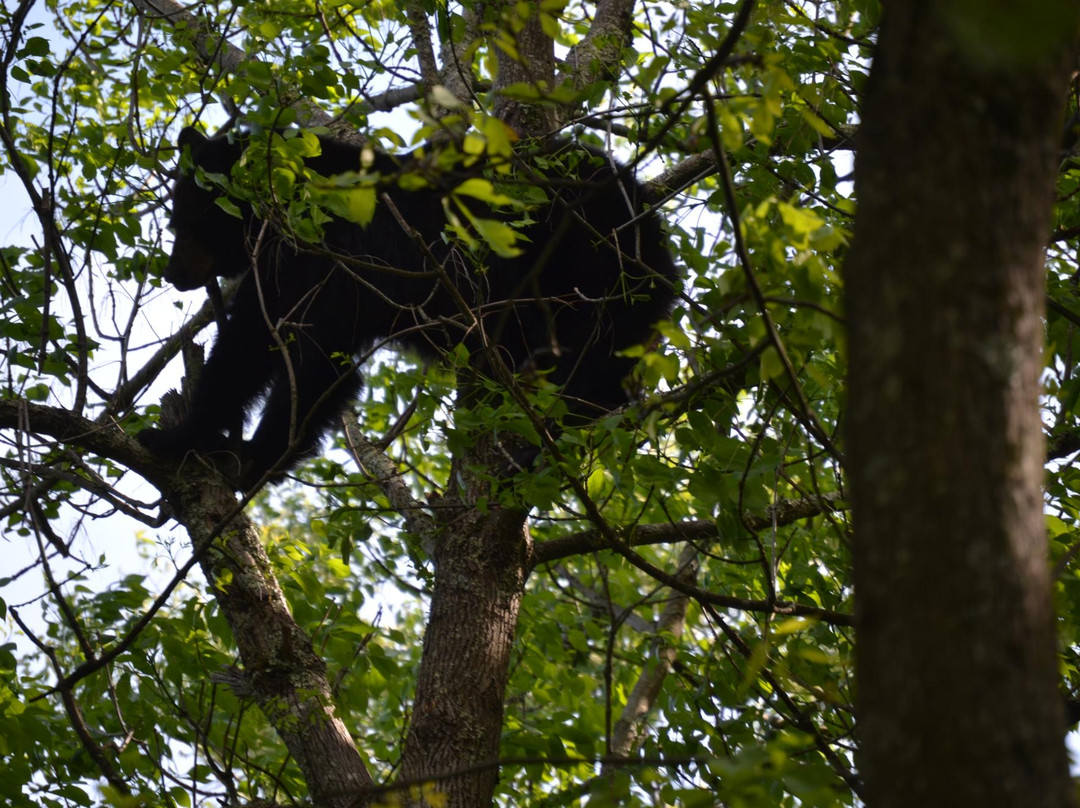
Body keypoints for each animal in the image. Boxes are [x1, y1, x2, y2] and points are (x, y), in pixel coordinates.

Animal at [136, 128, 673, 486]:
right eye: (175, 220)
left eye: (190, 222)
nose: (174, 273)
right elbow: (321, 369)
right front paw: (260, 456)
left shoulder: (323, 259)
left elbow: (254, 347)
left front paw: (180, 437)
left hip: (589, 257)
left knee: (593, 347)